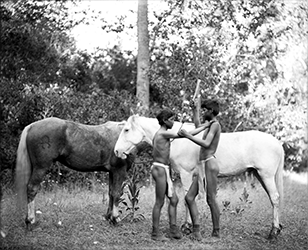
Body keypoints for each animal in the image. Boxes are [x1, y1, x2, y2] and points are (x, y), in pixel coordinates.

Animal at [113, 114, 284, 239]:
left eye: (126, 130)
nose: (116, 151)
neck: (177, 140)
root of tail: (277, 142)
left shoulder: (186, 173)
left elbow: (186, 199)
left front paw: (187, 227)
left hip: (266, 175)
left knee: (275, 198)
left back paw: (273, 232)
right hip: (259, 175)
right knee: (273, 199)